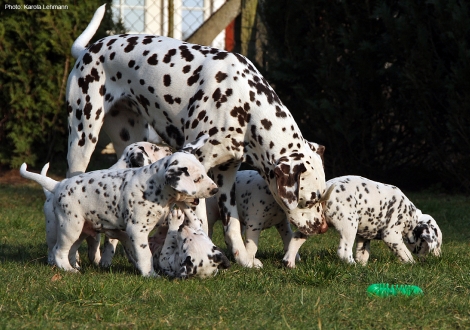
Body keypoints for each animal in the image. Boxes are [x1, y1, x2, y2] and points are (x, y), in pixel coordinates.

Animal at [18, 135, 217, 278]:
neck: (155, 187)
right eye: (197, 178)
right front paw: (150, 274)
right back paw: (68, 269)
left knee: (72, 251)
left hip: (81, 231)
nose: (215, 189)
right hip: (69, 227)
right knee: (58, 251)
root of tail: (58, 185)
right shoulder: (137, 230)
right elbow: (144, 254)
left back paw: (75, 265)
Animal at [65, 4, 326, 268]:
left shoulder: (226, 176)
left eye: (321, 197)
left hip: (130, 140)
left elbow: (232, 226)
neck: (244, 102)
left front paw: (244, 258)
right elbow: (201, 222)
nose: (323, 228)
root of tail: (88, 50)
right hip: (82, 139)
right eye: (308, 200)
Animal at [286, 175, 444, 266]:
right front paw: (412, 265)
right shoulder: (392, 236)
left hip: (311, 223)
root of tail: (324, 193)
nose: (439, 258)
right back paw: (352, 266)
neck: (411, 215)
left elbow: (363, 254)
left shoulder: (364, 237)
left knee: (295, 238)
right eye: (437, 245)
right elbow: (406, 254)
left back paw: (289, 262)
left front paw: (363, 267)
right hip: (349, 225)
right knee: (344, 252)